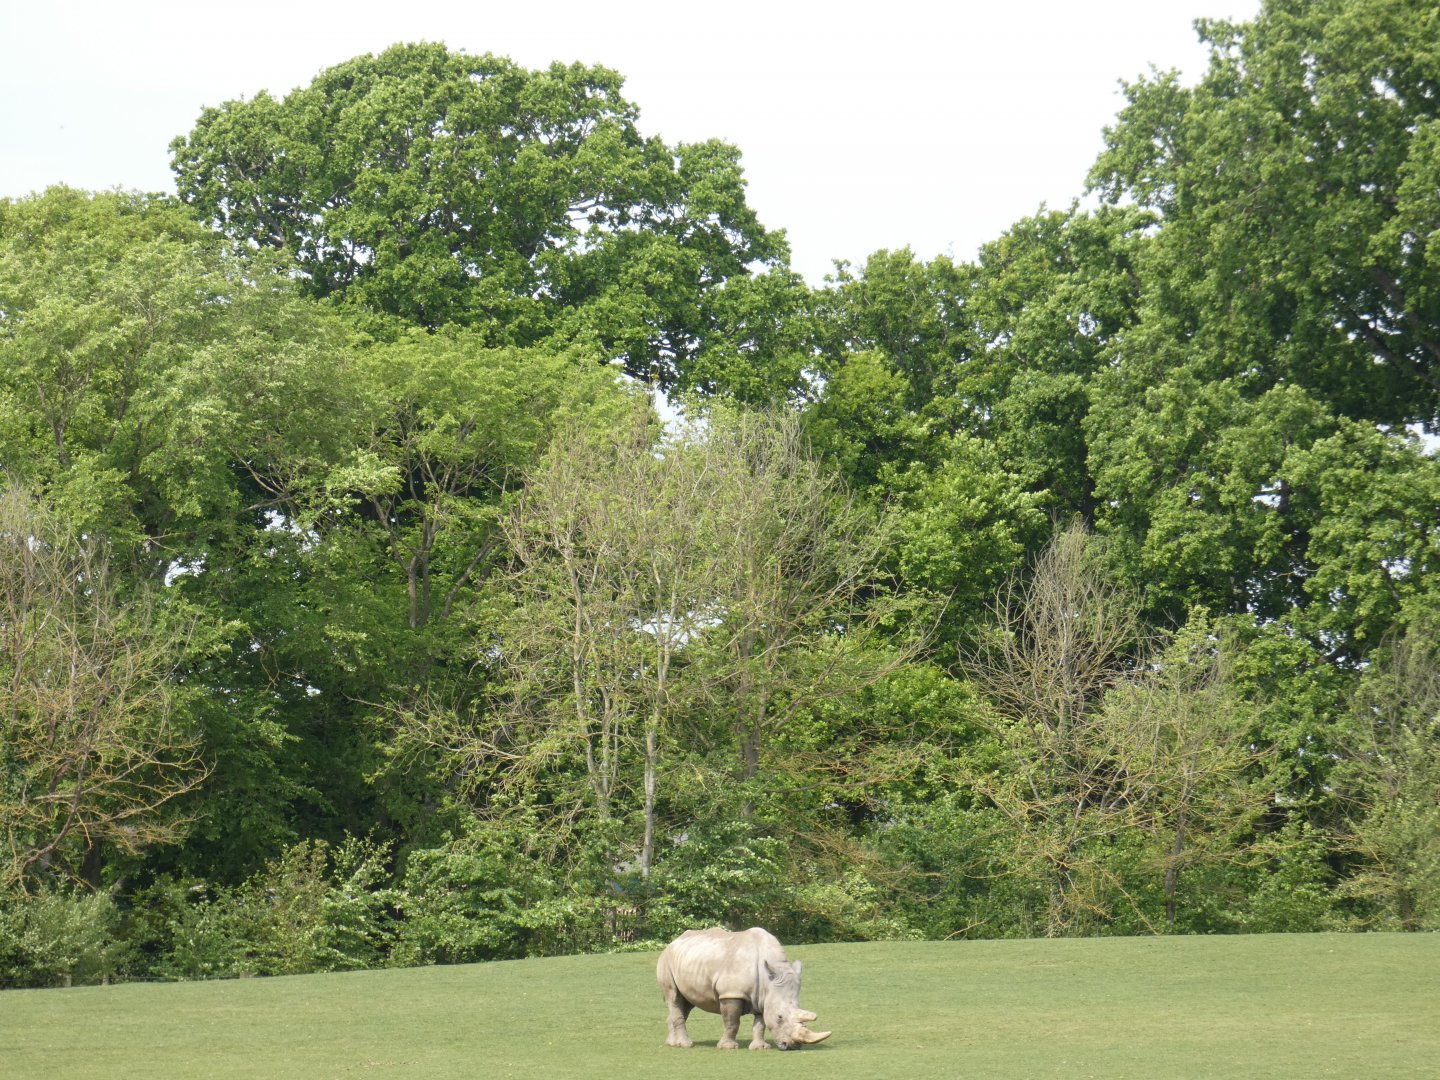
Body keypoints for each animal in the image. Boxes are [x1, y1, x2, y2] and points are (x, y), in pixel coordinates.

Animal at [657, 927, 832, 1050]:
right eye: (780, 1017)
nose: (793, 1046)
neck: (768, 978)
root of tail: (673, 942)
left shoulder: (763, 997)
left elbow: (760, 1023)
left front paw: (760, 1048)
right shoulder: (731, 993)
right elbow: (732, 1021)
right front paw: (728, 1047)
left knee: (685, 1003)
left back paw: (671, 1043)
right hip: (666, 961)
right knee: (674, 997)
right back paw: (685, 1045)